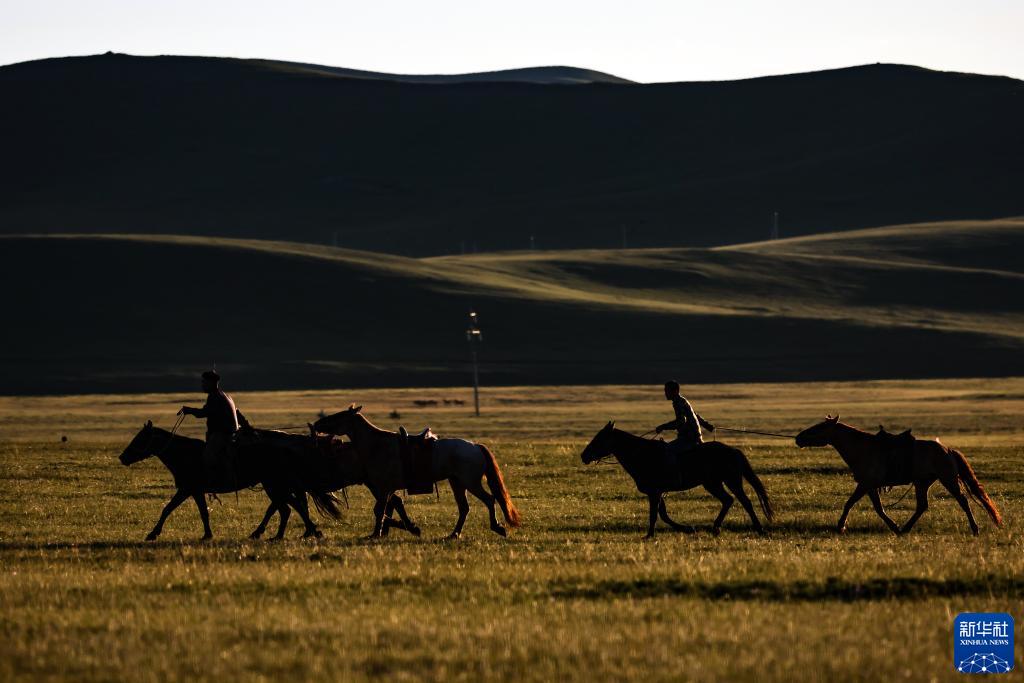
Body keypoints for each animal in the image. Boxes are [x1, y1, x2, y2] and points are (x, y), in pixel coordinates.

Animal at [119, 421, 339, 541]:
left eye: (140, 438)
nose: (122, 457)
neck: (184, 454)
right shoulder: (195, 491)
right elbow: (203, 513)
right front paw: (207, 534)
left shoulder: (187, 489)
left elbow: (167, 509)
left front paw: (152, 533)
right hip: (275, 486)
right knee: (287, 507)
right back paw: (277, 534)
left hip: (274, 485)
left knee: (291, 506)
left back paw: (307, 531)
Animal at [312, 405, 521, 539]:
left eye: (339, 416)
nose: (317, 424)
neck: (377, 445)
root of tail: (475, 447)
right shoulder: (385, 489)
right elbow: (387, 508)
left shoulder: (384, 488)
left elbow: (380, 510)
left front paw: (376, 534)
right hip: (457, 483)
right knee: (464, 508)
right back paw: (454, 534)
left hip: (471, 482)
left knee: (489, 500)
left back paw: (497, 527)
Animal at [580, 421, 774, 538]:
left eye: (599, 438)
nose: (584, 456)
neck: (642, 455)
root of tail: (733, 450)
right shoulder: (657, 492)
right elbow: (663, 515)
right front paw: (688, 529)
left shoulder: (654, 492)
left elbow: (654, 515)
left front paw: (649, 535)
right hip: (712, 483)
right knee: (728, 500)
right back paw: (716, 528)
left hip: (731, 481)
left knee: (745, 501)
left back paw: (759, 529)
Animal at [795, 415, 1002, 535]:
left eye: (820, 427)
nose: (798, 438)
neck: (861, 449)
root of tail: (948, 450)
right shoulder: (869, 486)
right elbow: (875, 508)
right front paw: (894, 527)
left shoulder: (866, 484)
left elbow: (853, 504)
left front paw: (841, 526)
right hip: (922, 483)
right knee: (922, 506)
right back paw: (905, 529)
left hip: (948, 480)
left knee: (963, 501)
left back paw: (975, 529)